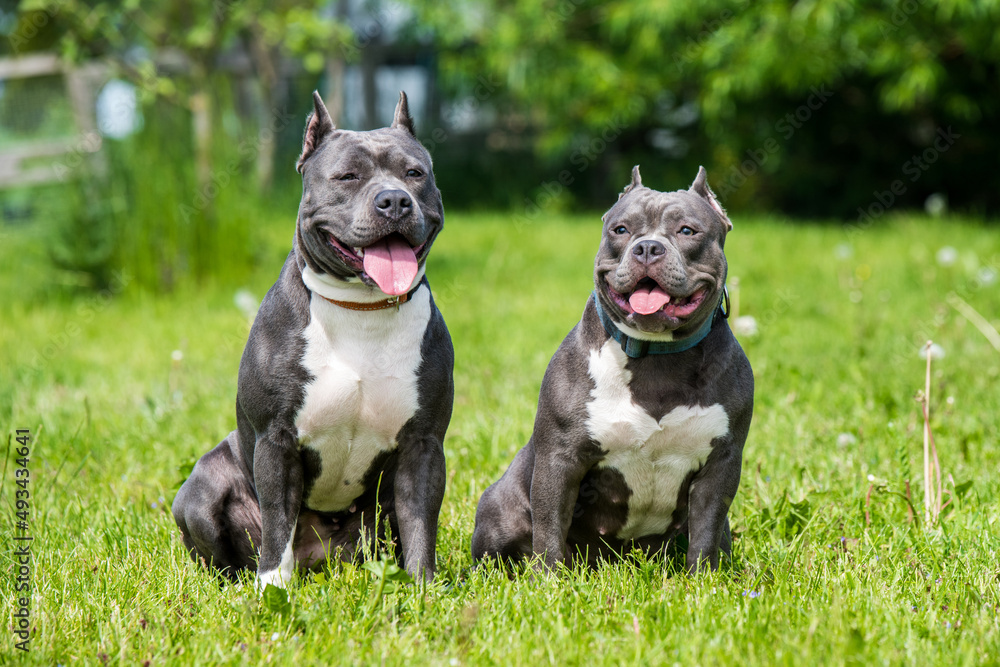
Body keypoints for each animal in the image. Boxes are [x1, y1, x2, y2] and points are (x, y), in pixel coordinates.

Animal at [172, 91, 454, 588]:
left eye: (415, 174)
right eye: (348, 176)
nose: (394, 200)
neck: (361, 309)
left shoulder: (424, 444)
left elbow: (420, 520)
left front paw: (421, 587)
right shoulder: (276, 440)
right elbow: (277, 523)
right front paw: (272, 590)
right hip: (201, 487)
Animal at [472, 166, 752, 576]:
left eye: (687, 230)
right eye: (620, 229)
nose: (648, 247)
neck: (656, 358)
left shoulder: (721, 466)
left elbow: (705, 531)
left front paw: (702, 579)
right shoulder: (560, 460)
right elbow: (550, 526)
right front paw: (550, 581)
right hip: (500, 509)